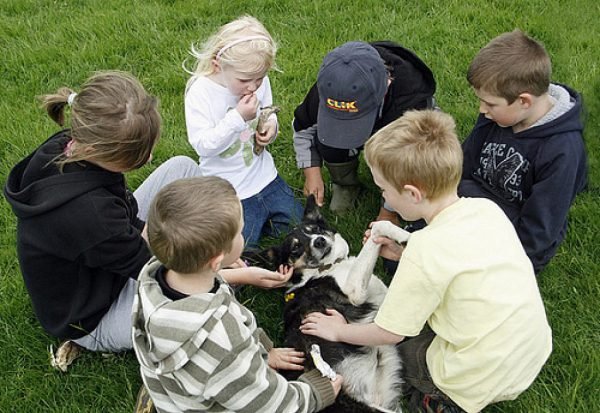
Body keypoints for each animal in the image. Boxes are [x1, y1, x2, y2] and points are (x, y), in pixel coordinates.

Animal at [253, 195, 412, 410]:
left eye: (314, 229)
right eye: (295, 248)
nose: (319, 241)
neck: (327, 268)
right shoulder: (355, 292)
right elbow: (377, 229)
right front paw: (406, 237)